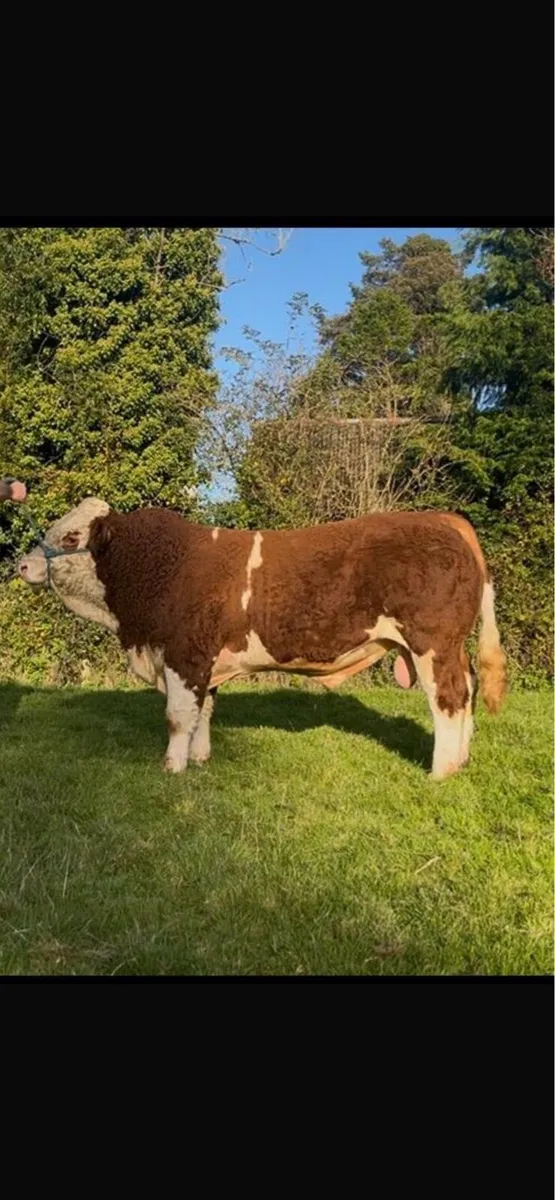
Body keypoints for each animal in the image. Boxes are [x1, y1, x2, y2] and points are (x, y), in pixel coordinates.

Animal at [17, 498, 507, 780]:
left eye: (71, 536)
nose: (22, 565)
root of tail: (445, 520)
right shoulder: (207, 663)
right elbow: (204, 712)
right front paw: (200, 758)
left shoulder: (183, 655)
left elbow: (178, 716)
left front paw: (172, 767)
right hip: (450, 648)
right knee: (466, 693)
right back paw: (462, 761)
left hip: (433, 644)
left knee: (447, 700)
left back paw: (441, 772)